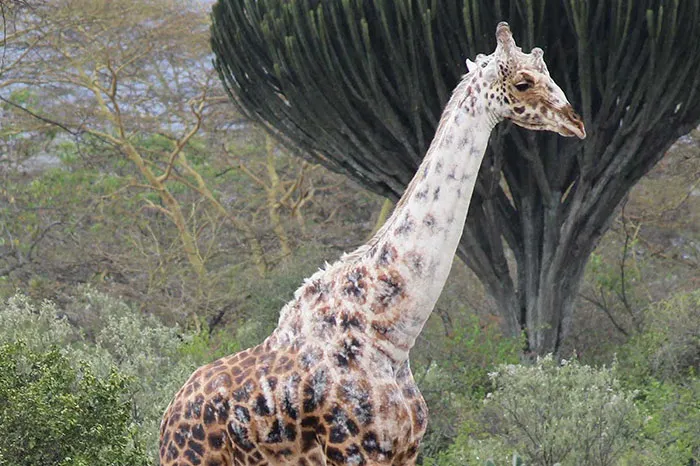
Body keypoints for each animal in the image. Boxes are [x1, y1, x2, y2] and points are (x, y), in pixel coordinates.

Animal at [159, 22, 585, 466]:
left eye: (548, 71)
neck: (390, 336)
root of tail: (168, 416)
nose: (575, 121)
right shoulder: (354, 449)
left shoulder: (406, 449)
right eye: (523, 82)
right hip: (188, 459)